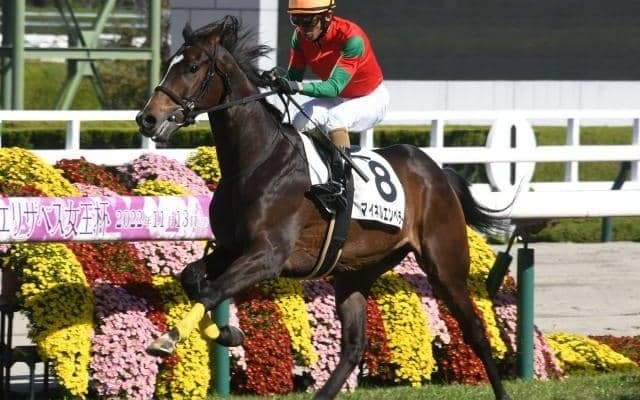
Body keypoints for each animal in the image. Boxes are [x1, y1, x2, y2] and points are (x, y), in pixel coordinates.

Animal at [136, 16, 512, 400]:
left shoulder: (269, 255)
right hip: (357, 270)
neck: (255, 161)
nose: (147, 119)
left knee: (476, 331)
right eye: (169, 65)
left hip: (445, 265)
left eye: (193, 67)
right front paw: (227, 333)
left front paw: (169, 339)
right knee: (354, 345)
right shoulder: (234, 247)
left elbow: (213, 290)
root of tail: (437, 171)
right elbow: (193, 279)